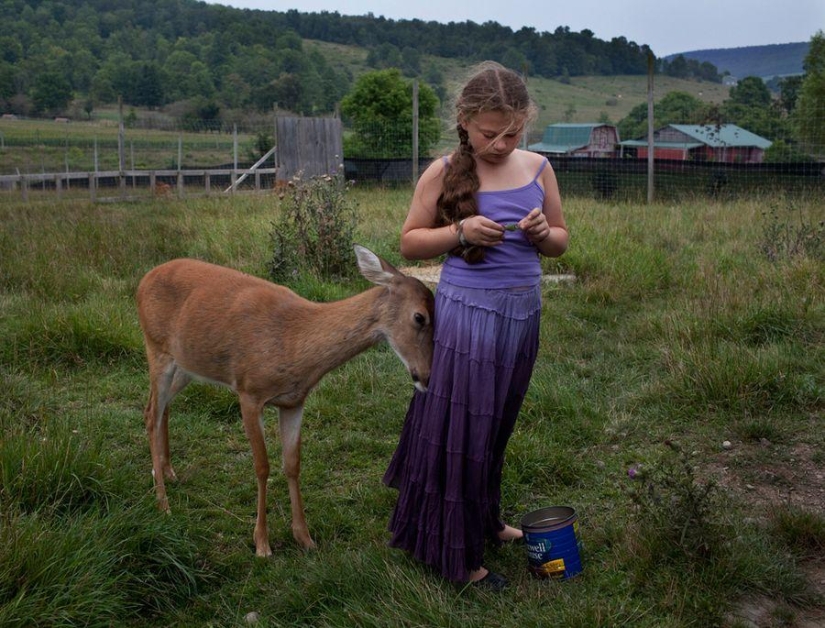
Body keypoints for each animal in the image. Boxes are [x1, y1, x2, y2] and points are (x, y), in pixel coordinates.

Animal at [135, 243, 434, 556]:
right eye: (420, 317)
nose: (426, 376)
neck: (294, 341)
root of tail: (144, 279)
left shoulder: (293, 402)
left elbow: (292, 464)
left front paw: (304, 537)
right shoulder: (249, 392)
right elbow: (262, 466)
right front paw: (262, 543)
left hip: (186, 365)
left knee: (160, 408)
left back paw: (167, 471)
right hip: (156, 348)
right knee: (151, 413)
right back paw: (163, 503)